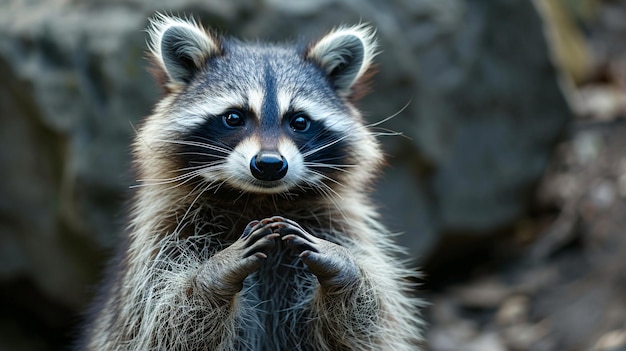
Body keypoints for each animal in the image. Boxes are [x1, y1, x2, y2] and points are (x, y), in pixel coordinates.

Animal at [75, 13, 422, 351]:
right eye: (233, 117)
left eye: (299, 121)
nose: (269, 165)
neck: (259, 200)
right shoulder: (164, 232)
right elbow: (160, 322)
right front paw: (211, 277)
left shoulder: (340, 224)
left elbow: (364, 327)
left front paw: (345, 271)